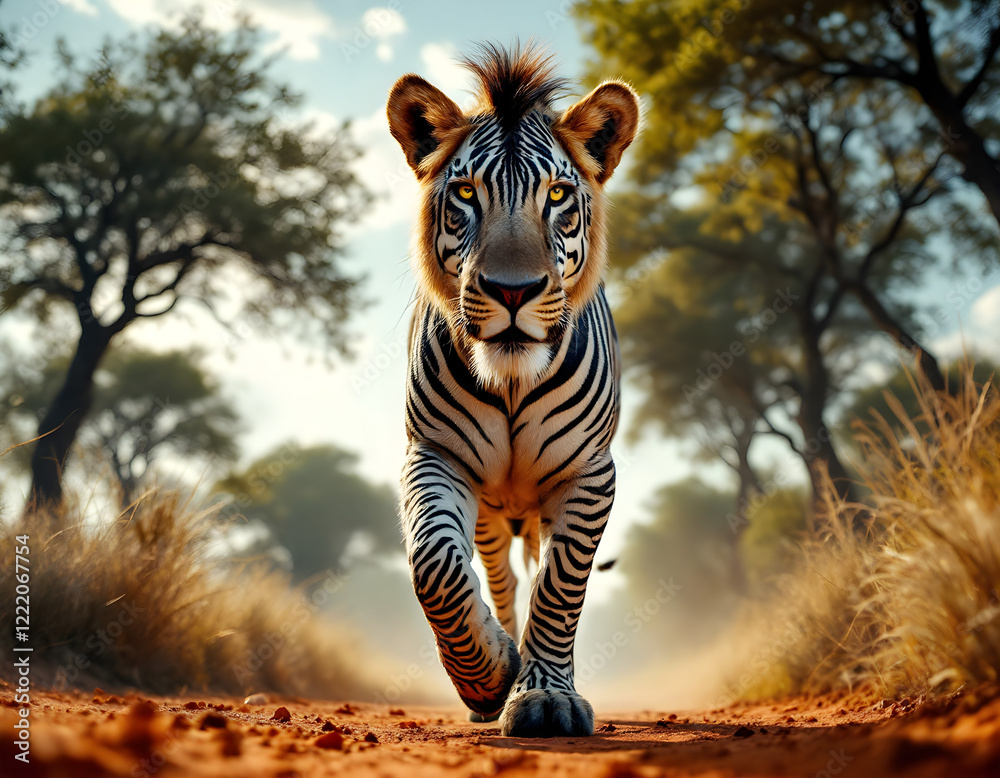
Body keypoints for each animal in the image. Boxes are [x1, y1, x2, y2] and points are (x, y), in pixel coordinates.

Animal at [387, 42, 638, 738]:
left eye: (556, 195)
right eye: (466, 193)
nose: (513, 290)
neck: (511, 382)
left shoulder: (589, 474)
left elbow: (560, 590)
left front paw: (546, 698)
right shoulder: (435, 457)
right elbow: (436, 566)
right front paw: (491, 677)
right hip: (493, 519)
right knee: (497, 582)